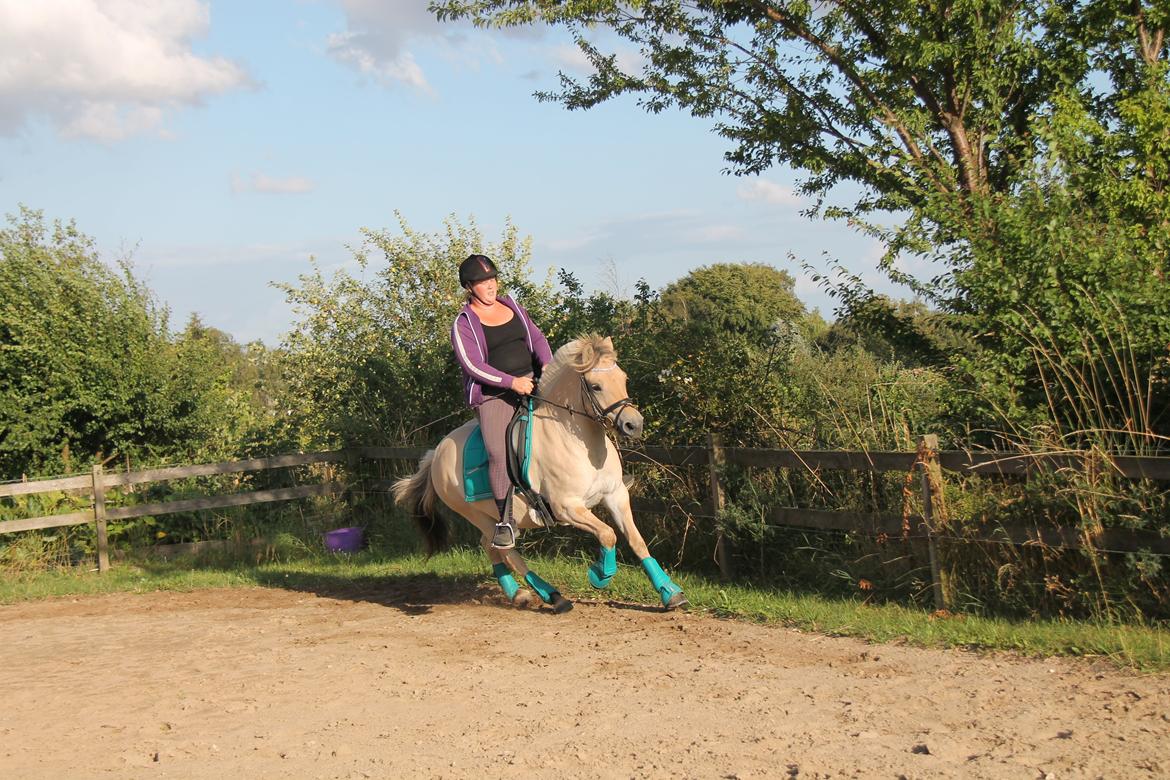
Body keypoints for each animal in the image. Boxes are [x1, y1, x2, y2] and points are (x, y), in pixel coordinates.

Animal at [393, 336, 683, 617]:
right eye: (596, 386)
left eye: (623, 378)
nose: (634, 425)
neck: (579, 444)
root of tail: (437, 453)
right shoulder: (568, 507)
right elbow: (607, 534)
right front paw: (599, 575)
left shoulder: (615, 495)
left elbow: (636, 541)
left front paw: (670, 593)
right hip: (475, 514)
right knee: (506, 551)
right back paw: (554, 597)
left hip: (496, 519)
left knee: (490, 546)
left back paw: (518, 595)